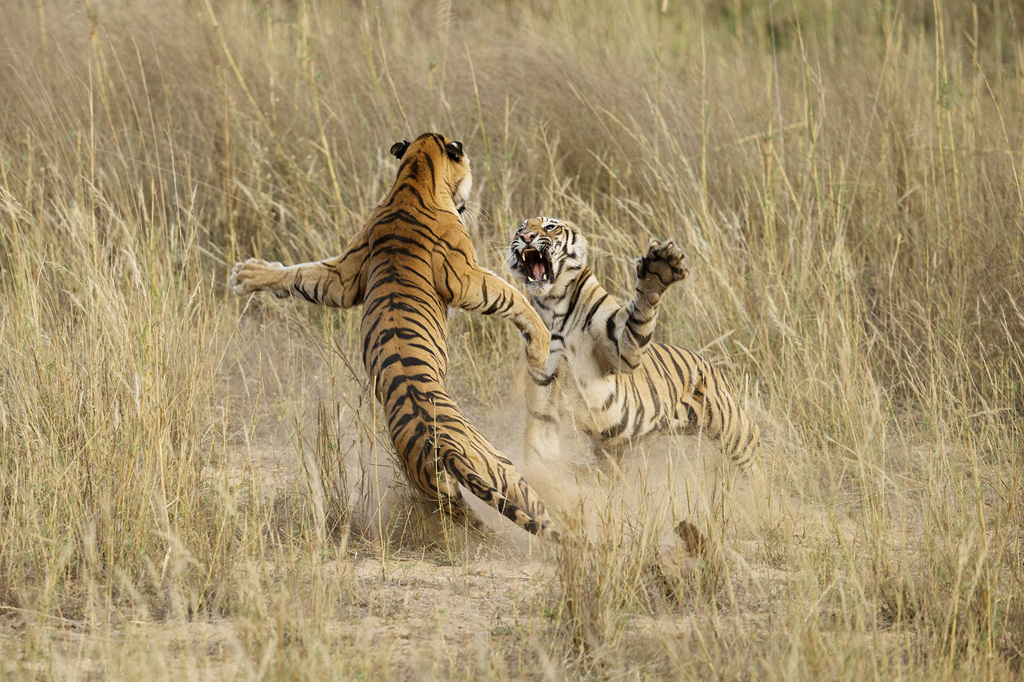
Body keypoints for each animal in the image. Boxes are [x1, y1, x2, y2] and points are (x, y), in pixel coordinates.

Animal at [230, 134, 561, 540]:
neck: (414, 175)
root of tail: (443, 449)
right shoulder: (465, 276)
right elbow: (511, 296)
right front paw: (540, 345)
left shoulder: (343, 276)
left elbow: (301, 275)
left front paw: (249, 274)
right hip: (502, 467)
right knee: (538, 514)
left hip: (447, 491)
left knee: (478, 521)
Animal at [507, 215, 765, 471]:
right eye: (521, 229)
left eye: (550, 227)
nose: (526, 237)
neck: (554, 305)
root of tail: (715, 369)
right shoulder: (544, 388)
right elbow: (539, 443)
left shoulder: (621, 351)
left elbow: (640, 314)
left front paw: (657, 270)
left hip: (733, 428)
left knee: (755, 447)